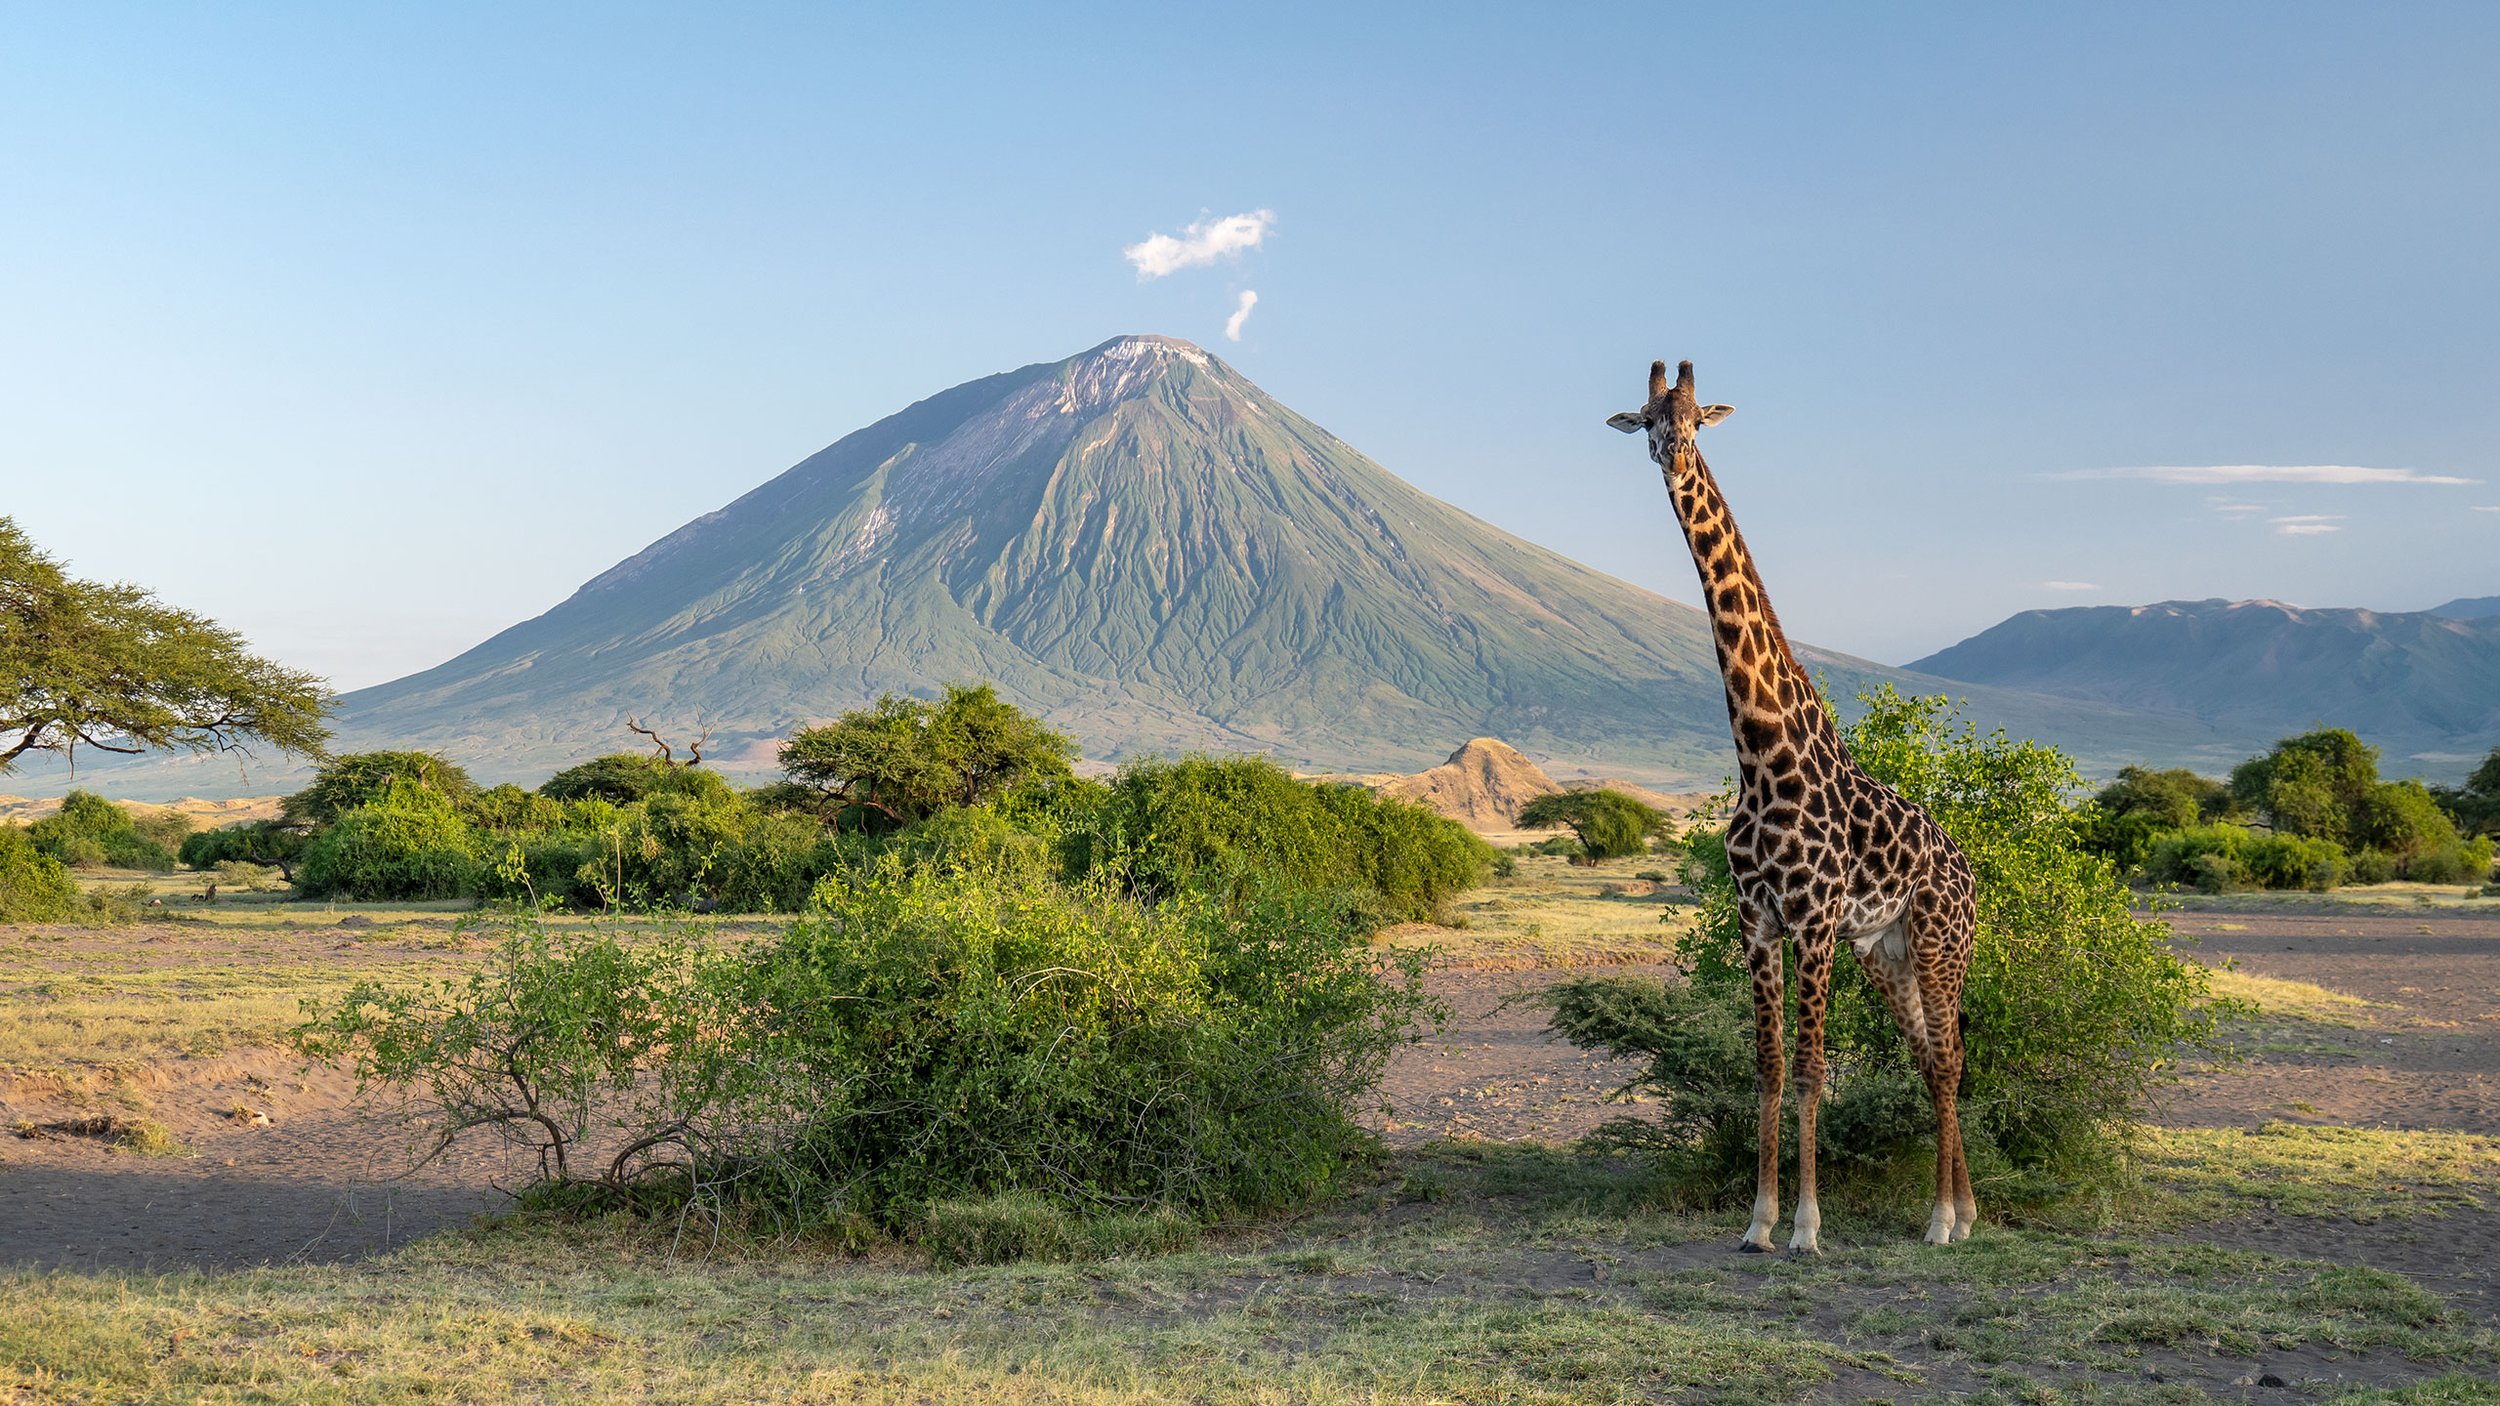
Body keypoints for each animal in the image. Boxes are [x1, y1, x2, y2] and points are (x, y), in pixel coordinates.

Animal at [1608, 360, 1979, 1252]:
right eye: (1645, 420)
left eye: (1695, 421)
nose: (1673, 458)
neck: (1761, 751)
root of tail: (1969, 871)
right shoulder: (1759, 919)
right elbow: (1770, 1071)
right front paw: (1758, 1221)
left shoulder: (1812, 919)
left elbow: (1813, 1073)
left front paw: (1808, 1227)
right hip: (1886, 952)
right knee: (1930, 1058)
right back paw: (1958, 1211)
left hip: (1940, 942)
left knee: (1951, 1059)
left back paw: (1946, 1220)